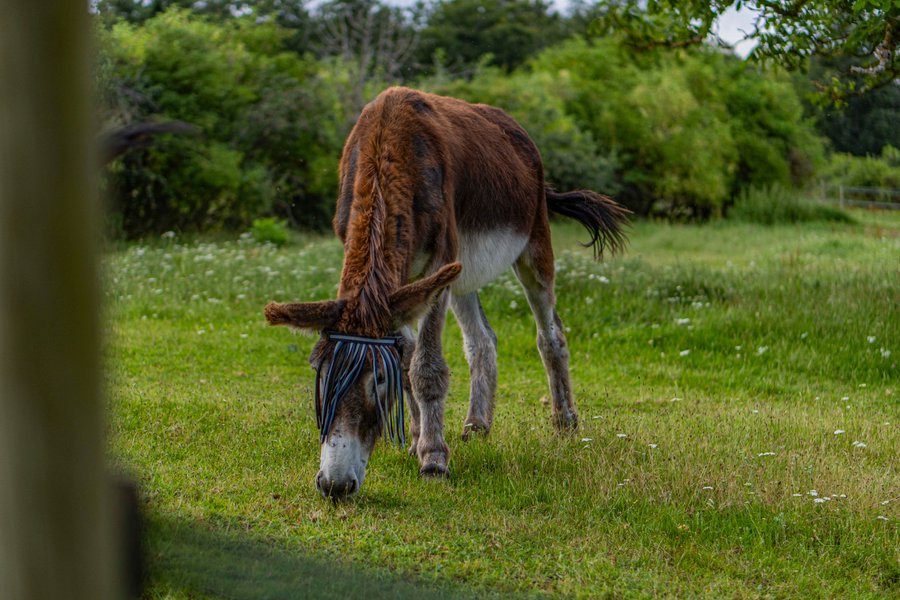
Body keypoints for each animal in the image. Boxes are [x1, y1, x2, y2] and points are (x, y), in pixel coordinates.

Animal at [265, 86, 628, 499]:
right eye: (320, 373)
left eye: (378, 381)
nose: (334, 485)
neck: (386, 146)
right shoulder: (402, 284)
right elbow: (406, 359)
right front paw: (416, 441)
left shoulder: (436, 264)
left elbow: (425, 367)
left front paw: (434, 459)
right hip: (460, 272)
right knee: (482, 340)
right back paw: (477, 425)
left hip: (532, 243)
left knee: (550, 335)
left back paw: (565, 422)